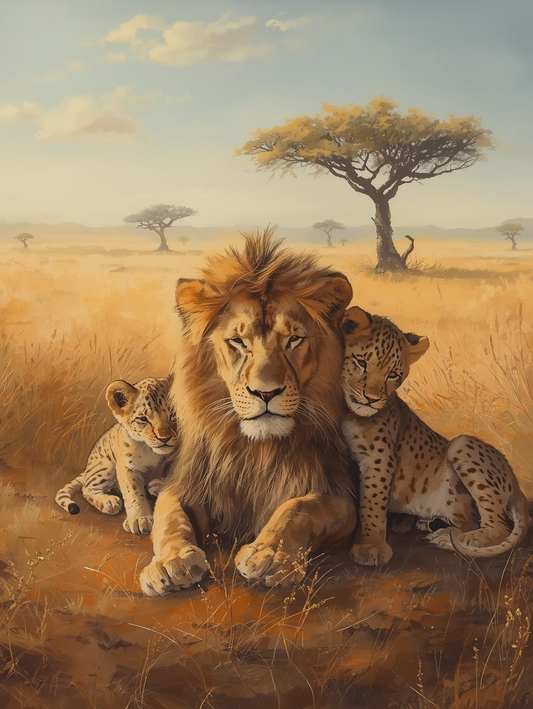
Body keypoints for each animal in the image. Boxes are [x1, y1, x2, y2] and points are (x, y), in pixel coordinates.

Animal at [140, 229, 358, 595]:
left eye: (293, 340)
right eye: (238, 342)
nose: (266, 392)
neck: (254, 449)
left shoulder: (341, 494)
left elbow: (300, 506)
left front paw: (269, 554)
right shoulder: (191, 482)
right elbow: (169, 516)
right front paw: (172, 561)